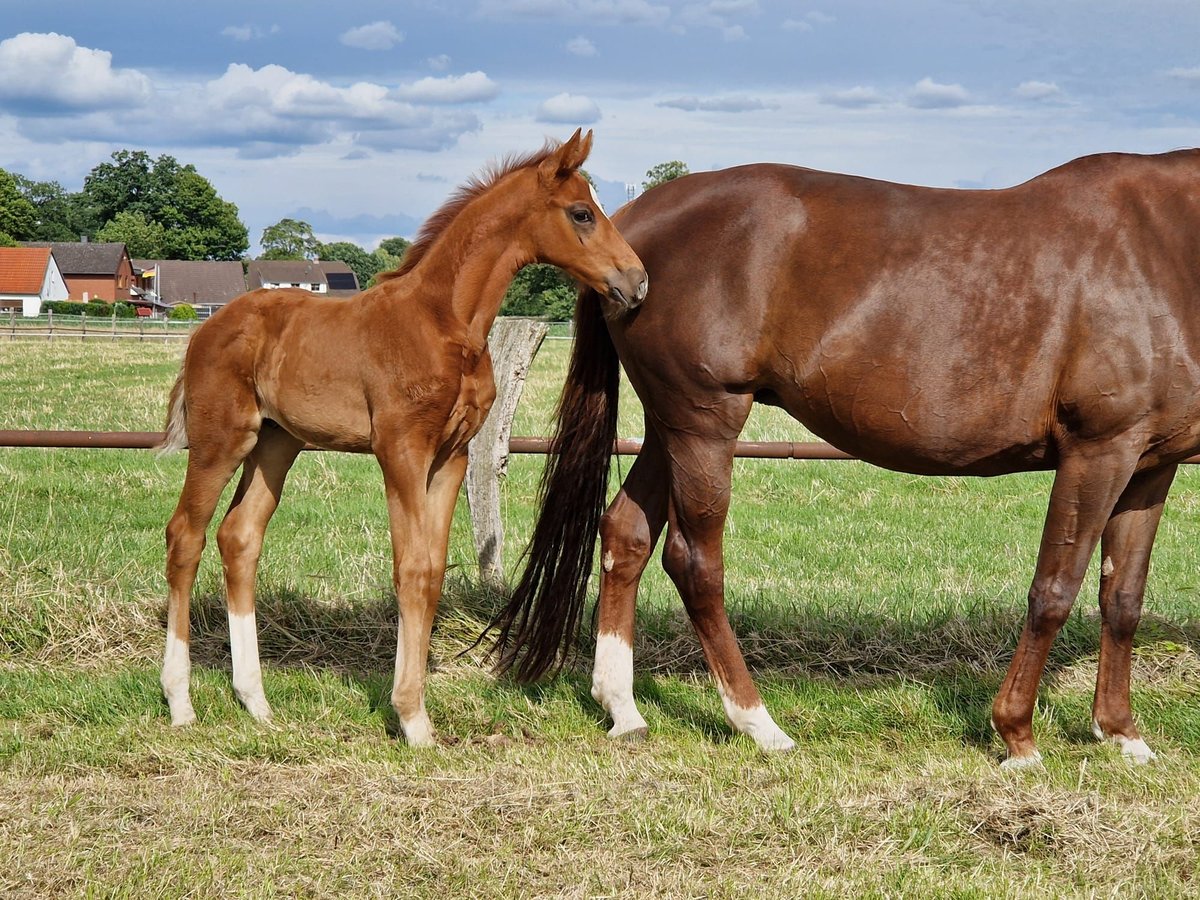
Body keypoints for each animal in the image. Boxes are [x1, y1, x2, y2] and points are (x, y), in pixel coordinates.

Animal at [158, 128, 648, 748]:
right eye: (582, 213)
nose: (637, 280)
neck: (446, 324)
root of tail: (205, 328)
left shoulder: (451, 457)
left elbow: (432, 572)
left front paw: (413, 705)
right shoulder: (401, 452)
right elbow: (410, 569)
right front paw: (412, 719)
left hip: (276, 445)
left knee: (239, 537)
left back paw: (257, 702)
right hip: (221, 440)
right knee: (186, 536)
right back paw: (180, 702)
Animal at [492, 148, 1200, 768]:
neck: (1159, 244)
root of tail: (630, 233)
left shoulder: (1148, 464)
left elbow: (1123, 596)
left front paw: (1122, 734)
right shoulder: (1098, 450)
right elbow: (1054, 588)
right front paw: (1018, 736)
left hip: (672, 430)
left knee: (626, 534)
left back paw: (623, 709)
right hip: (704, 423)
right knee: (694, 562)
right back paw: (759, 724)